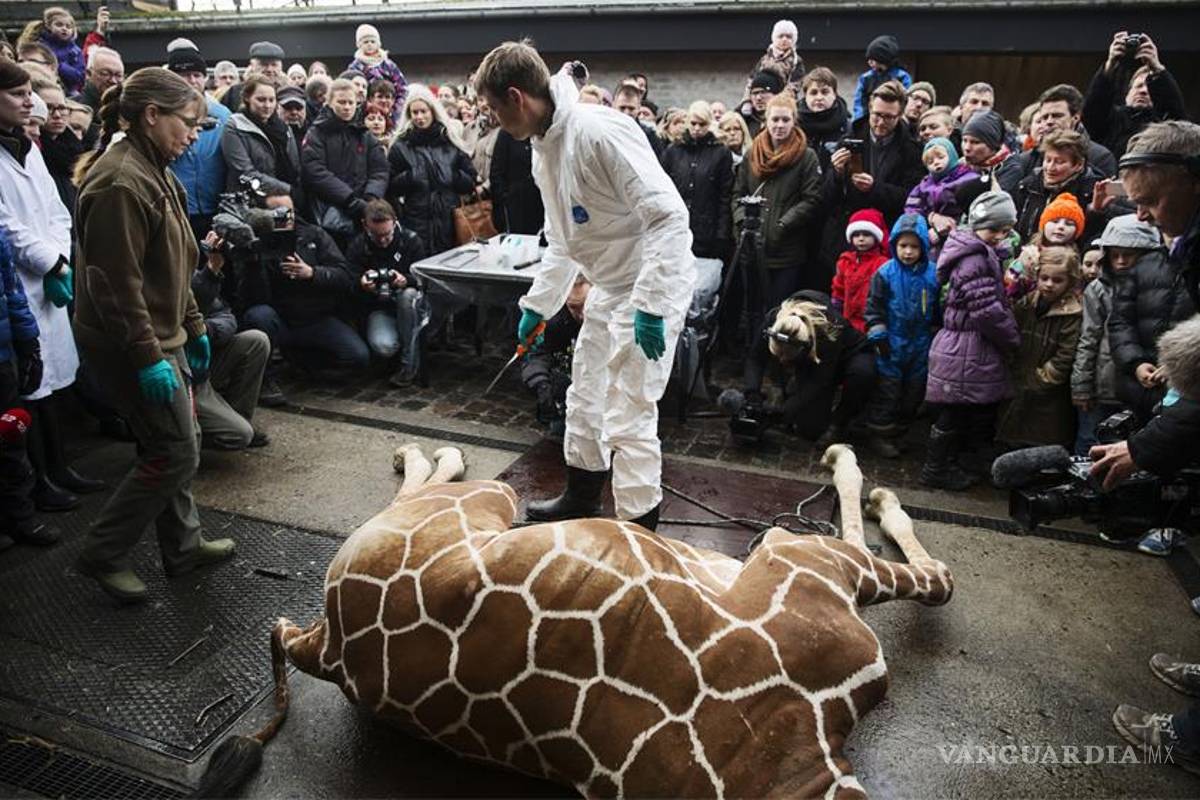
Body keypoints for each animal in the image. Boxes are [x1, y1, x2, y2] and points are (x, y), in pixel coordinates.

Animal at [202, 443, 952, 799]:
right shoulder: (804, 564)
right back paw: (427, 453)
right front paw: (859, 473)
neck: (791, 765)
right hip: (487, 500)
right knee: (435, 486)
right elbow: (933, 575)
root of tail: (323, 644)